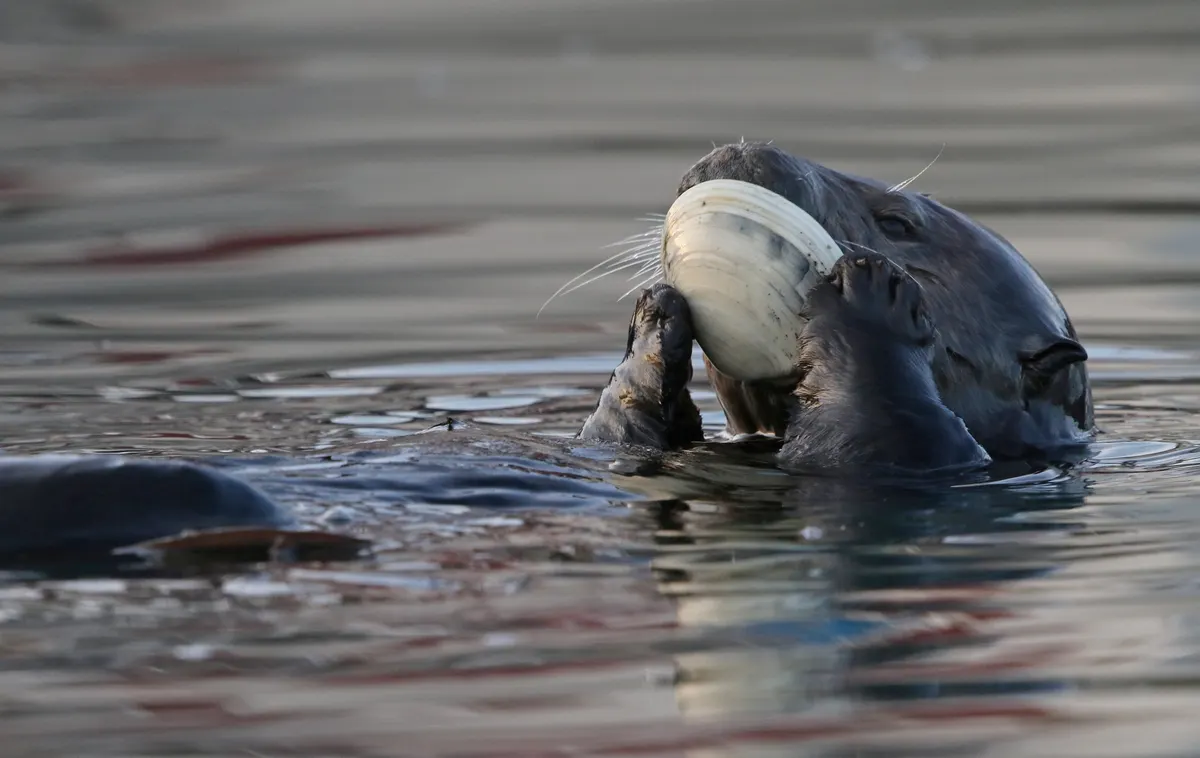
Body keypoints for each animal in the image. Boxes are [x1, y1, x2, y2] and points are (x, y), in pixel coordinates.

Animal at [581, 142, 1092, 472]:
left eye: (897, 223)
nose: (735, 153)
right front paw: (652, 325)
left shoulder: (922, 452)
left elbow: (879, 430)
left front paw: (870, 299)